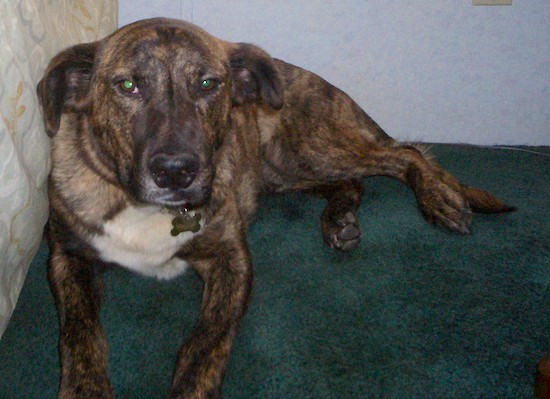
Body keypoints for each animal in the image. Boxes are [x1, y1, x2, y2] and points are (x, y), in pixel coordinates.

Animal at [38, 18, 516, 399]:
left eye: (209, 84)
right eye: (127, 85)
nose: (176, 171)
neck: (142, 206)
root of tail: (314, 79)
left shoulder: (231, 259)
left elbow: (207, 339)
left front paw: (192, 386)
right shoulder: (66, 257)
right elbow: (78, 332)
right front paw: (84, 388)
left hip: (311, 146)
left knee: (405, 154)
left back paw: (441, 199)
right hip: (284, 165)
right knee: (355, 180)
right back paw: (340, 220)